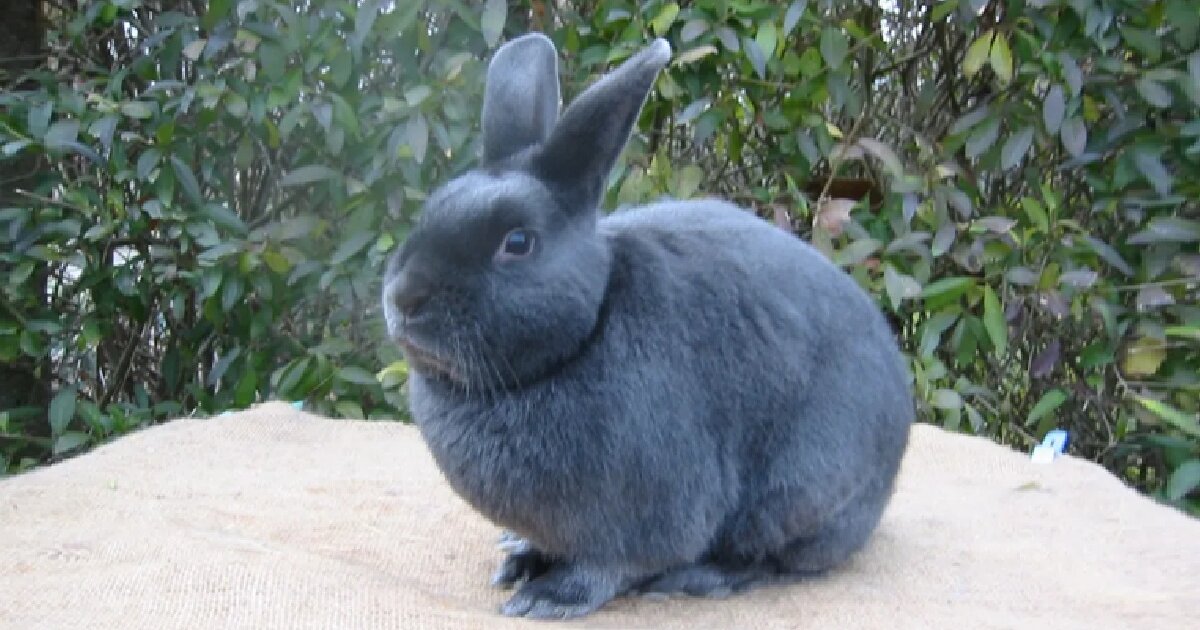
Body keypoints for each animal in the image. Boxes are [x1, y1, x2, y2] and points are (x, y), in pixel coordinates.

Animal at [380, 32, 914, 620]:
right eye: (432, 209)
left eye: (517, 243)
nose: (404, 298)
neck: (583, 334)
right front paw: (519, 559)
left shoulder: (646, 512)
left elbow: (609, 566)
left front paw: (547, 597)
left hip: (799, 494)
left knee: (773, 559)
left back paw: (698, 578)